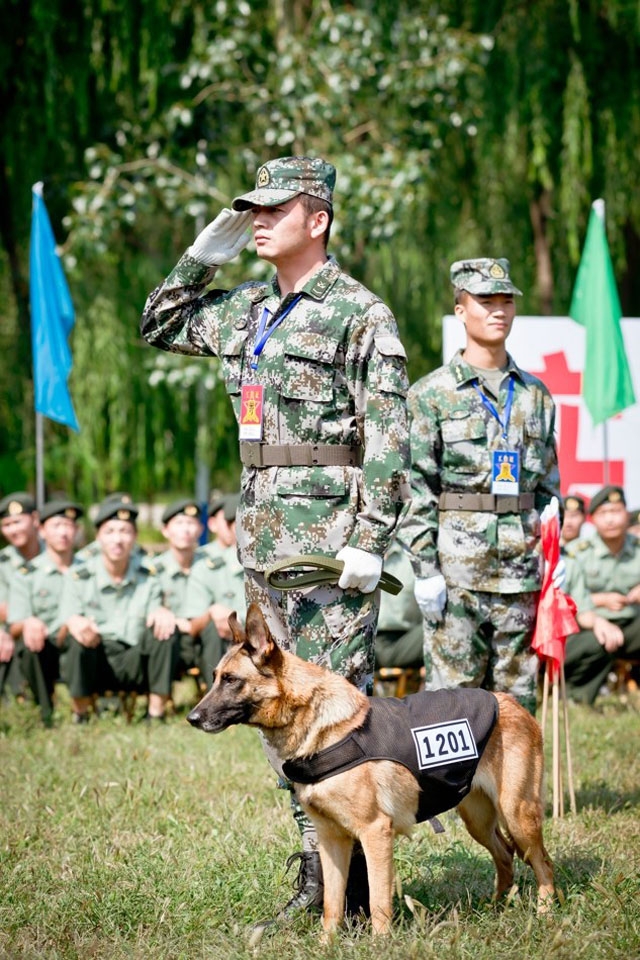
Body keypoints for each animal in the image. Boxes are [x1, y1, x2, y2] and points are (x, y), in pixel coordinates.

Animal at [186, 604, 556, 932]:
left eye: (231, 680)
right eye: (215, 678)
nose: (192, 718)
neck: (319, 726)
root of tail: (513, 704)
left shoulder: (376, 833)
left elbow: (378, 903)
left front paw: (379, 944)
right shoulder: (331, 840)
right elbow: (332, 906)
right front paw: (327, 945)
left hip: (517, 814)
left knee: (543, 863)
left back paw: (544, 913)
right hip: (477, 819)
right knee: (505, 856)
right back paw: (496, 907)